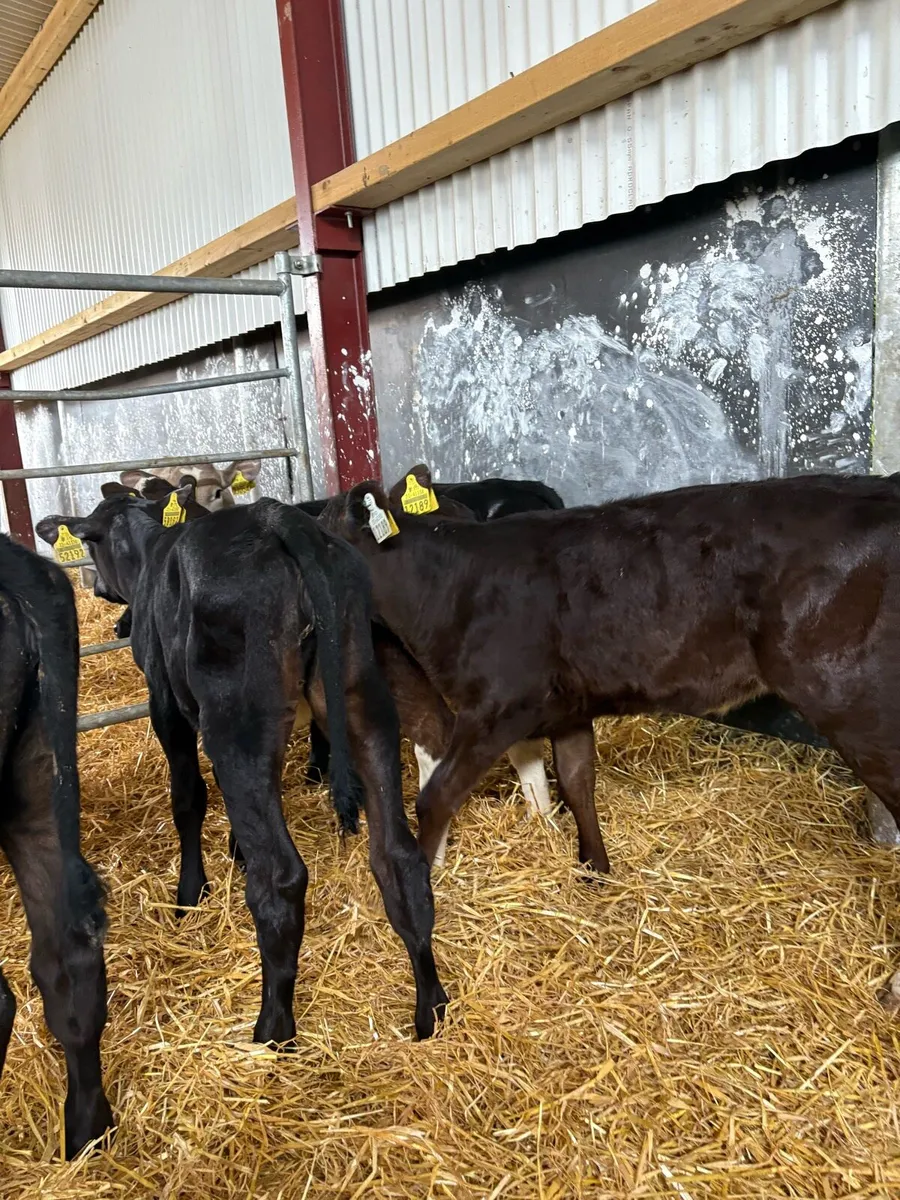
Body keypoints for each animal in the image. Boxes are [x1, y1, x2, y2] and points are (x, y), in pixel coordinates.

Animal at [36, 486, 447, 1042]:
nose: (100, 591)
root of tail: (276, 521)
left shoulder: (165, 704)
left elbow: (188, 797)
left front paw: (191, 892)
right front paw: (235, 849)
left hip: (238, 725)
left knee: (281, 877)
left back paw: (272, 1027)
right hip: (363, 700)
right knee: (397, 856)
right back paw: (431, 1007)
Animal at [321, 466, 900, 908]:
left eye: (321, 533)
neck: (444, 585)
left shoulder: (497, 707)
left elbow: (435, 797)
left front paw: (420, 883)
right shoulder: (566, 707)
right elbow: (578, 783)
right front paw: (595, 871)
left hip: (855, 702)